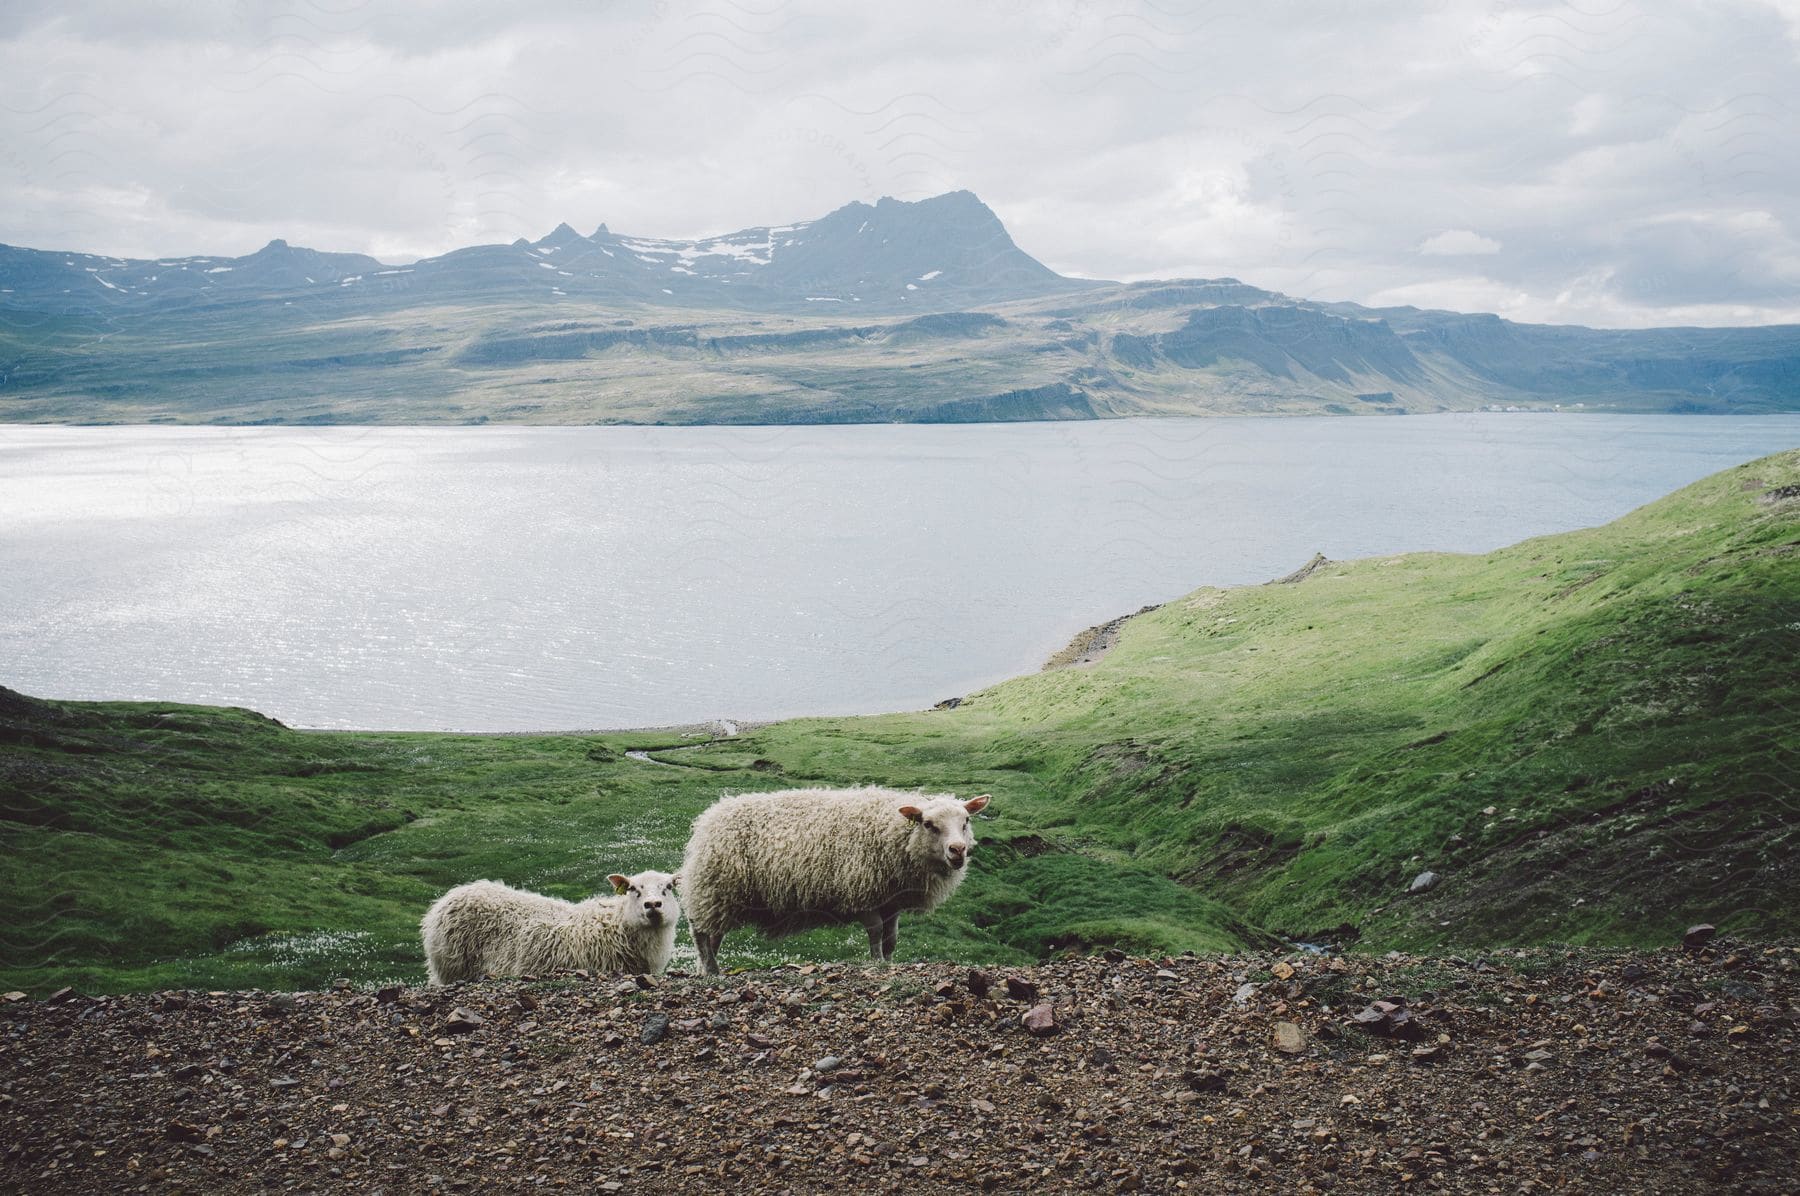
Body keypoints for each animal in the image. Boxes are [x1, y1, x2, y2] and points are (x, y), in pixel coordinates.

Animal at [676, 785, 993, 972]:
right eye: (928, 824)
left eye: (966, 821)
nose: (958, 850)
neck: (894, 833)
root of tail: (708, 818)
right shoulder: (861, 894)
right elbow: (876, 933)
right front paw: (875, 962)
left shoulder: (891, 902)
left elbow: (891, 938)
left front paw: (889, 962)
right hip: (713, 890)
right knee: (701, 934)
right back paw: (711, 971)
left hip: (719, 898)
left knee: (713, 936)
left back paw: (706, 969)